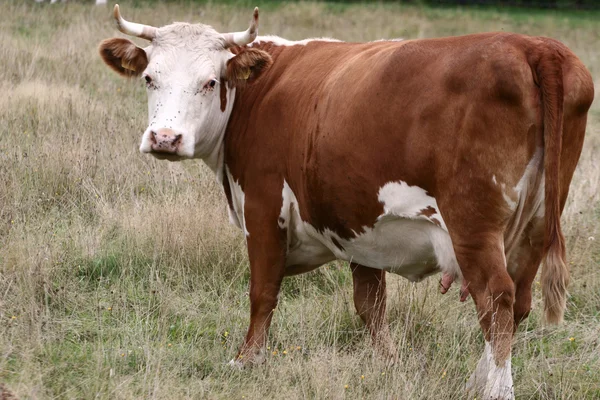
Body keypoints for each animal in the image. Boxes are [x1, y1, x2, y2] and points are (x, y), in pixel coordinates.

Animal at [98, 4, 596, 398]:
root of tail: (532, 45)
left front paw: (246, 360)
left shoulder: (263, 205)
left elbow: (263, 290)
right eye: (149, 78)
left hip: (473, 225)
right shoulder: (359, 222)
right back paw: (477, 380)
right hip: (537, 222)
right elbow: (369, 303)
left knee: (496, 298)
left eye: (210, 81)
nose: (165, 138)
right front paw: (389, 364)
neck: (260, 91)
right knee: (519, 302)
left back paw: (495, 391)